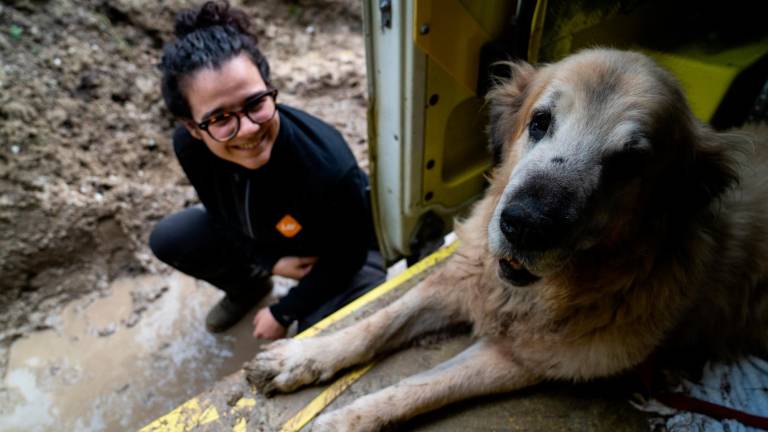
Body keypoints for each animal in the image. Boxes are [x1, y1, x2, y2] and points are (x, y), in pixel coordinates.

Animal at [246, 49, 768, 430]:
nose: (525, 225)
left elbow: (416, 387)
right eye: (540, 122)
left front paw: (341, 421)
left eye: (628, 163)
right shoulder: (461, 280)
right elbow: (378, 324)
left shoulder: (523, 358)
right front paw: (302, 357)